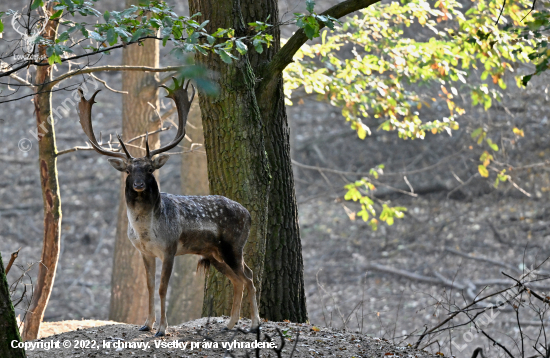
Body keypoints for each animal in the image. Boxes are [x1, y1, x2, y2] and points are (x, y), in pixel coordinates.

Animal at [76, 77, 264, 336]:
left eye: (149, 169)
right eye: (129, 170)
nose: (138, 184)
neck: (145, 231)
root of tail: (248, 213)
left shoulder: (170, 247)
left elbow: (162, 288)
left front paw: (162, 328)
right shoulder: (144, 252)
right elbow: (149, 286)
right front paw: (146, 324)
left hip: (234, 244)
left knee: (249, 277)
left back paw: (254, 324)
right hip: (214, 252)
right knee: (239, 279)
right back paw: (230, 324)